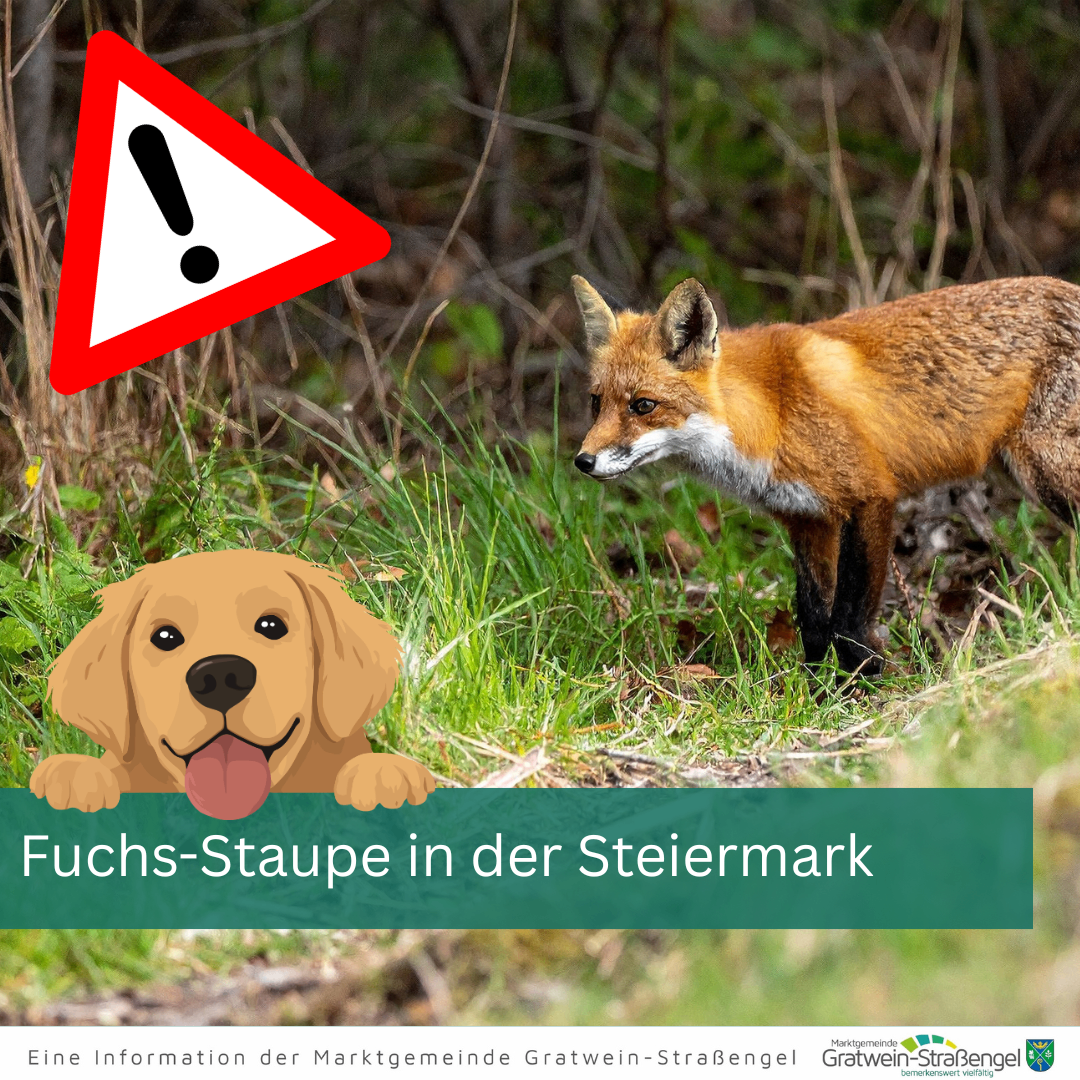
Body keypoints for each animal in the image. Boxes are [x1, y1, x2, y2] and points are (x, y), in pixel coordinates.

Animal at [571, 273, 1080, 675]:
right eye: (595, 402)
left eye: (643, 406)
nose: (583, 461)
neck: (772, 413)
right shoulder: (806, 518)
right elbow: (814, 620)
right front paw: (815, 689)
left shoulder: (871, 496)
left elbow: (849, 621)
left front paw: (865, 683)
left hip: (1047, 475)